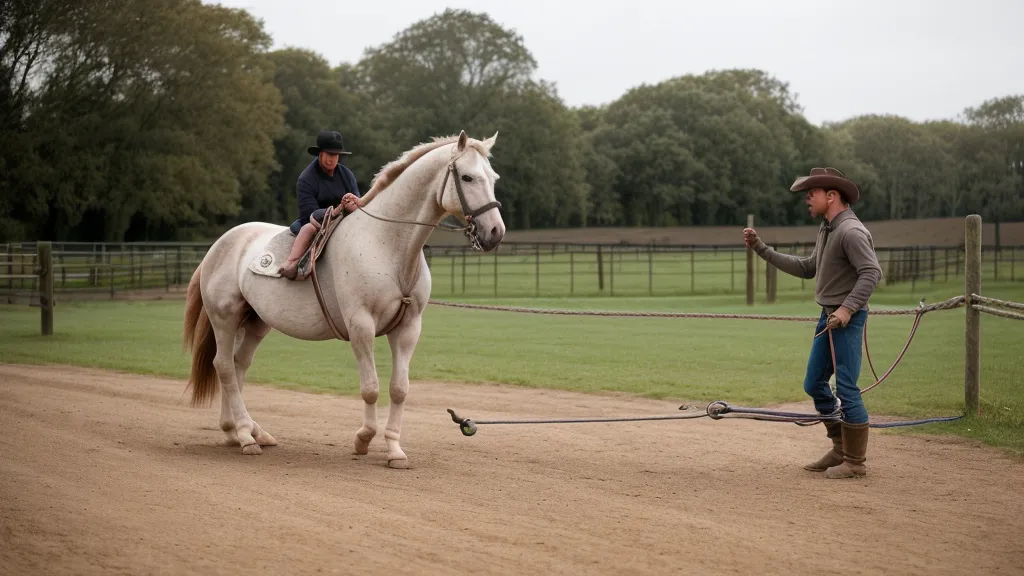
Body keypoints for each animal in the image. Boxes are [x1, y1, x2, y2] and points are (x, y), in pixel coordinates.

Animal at [181, 130, 505, 468]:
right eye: (467, 177)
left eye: (493, 177)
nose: (496, 231)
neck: (386, 244)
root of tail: (220, 245)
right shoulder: (361, 326)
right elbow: (371, 389)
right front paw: (363, 439)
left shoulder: (408, 329)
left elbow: (399, 389)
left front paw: (394, 450)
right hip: (225, 319)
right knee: (224, 368)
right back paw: (245, 435)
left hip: (256, 322)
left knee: (237, 365)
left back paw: (242, 431)